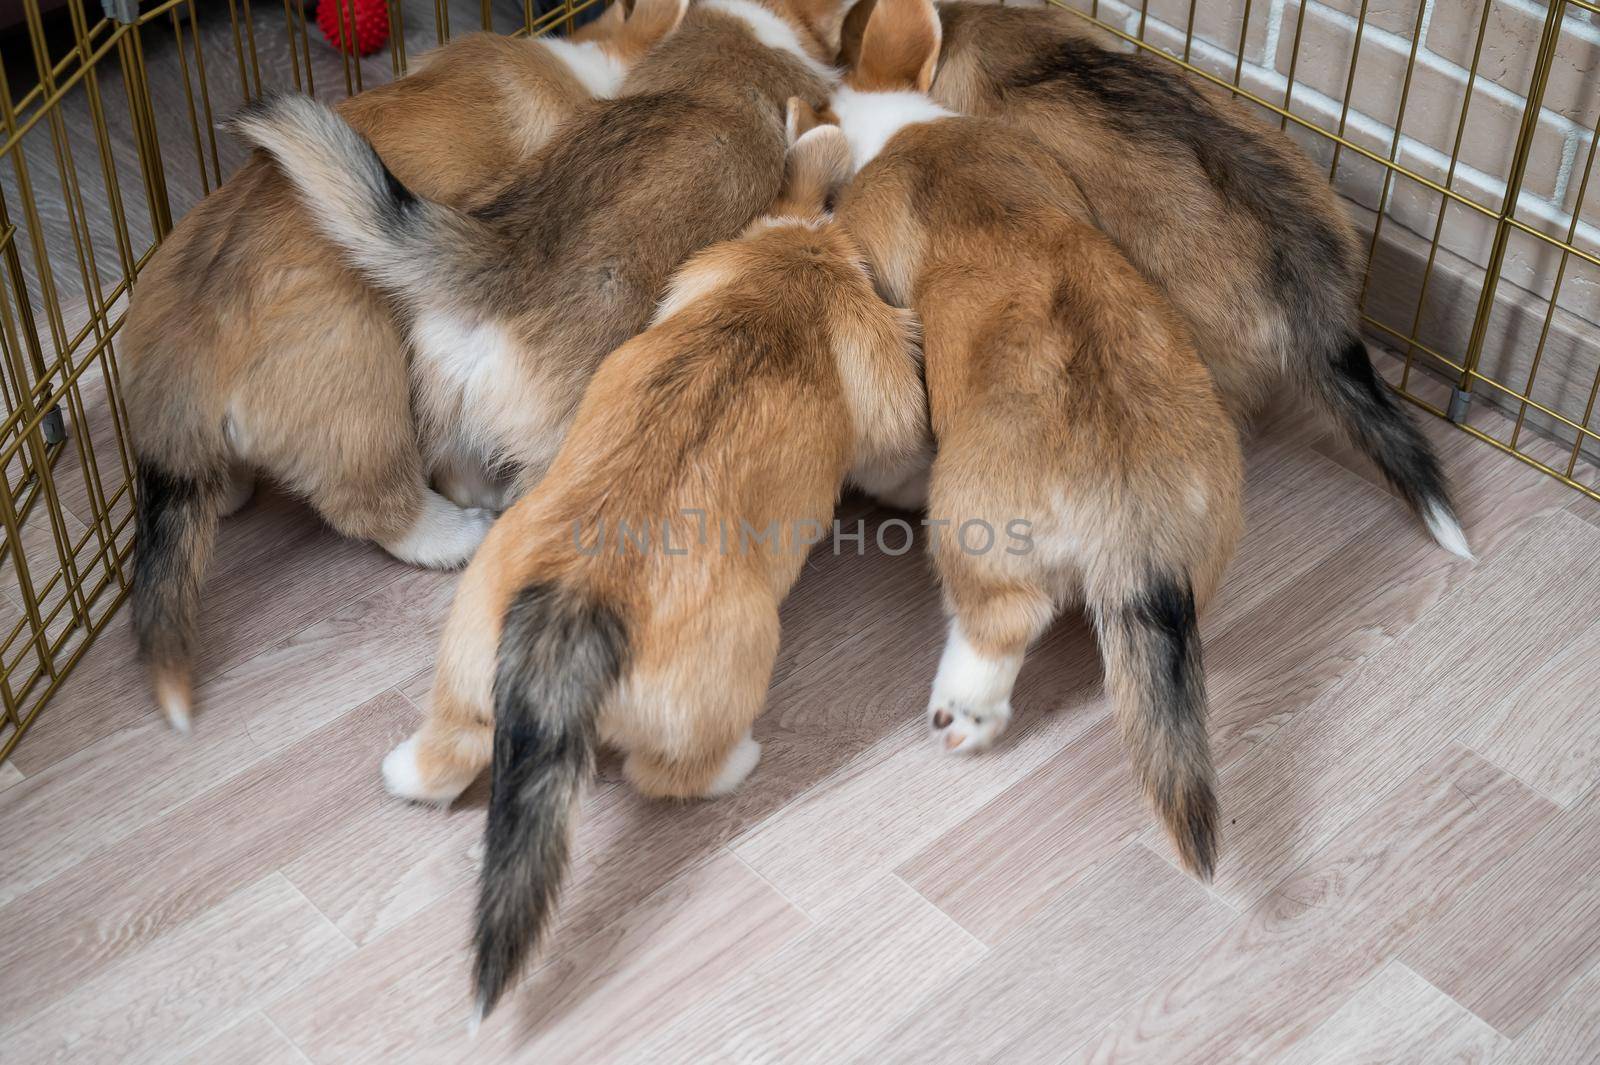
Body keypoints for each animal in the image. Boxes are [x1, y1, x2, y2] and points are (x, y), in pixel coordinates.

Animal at [377, 103, 928, 1017]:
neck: (787, 272)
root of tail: (578, 600)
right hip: (735, 663)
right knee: (664, 773)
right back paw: (740, 762)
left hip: (466, 667)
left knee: (445, 756)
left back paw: (401, 769)